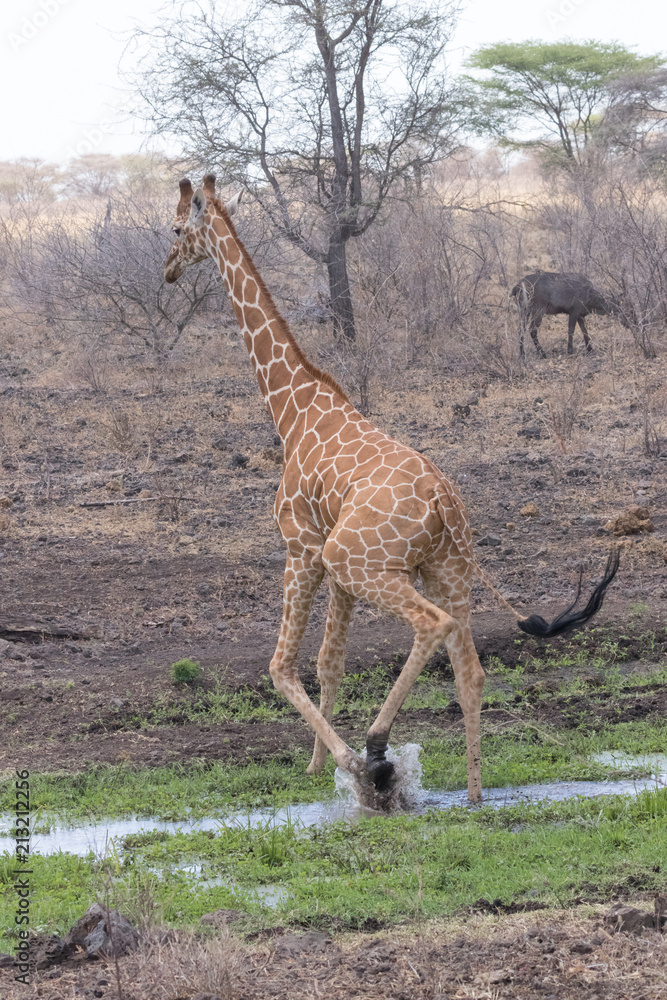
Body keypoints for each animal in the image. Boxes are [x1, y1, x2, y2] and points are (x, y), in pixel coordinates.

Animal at [164, 175, 619, 803]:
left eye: (177, 229)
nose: (167, 271)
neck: (292, 409)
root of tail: (444, 501)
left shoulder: (305, 548)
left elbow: (284, 667)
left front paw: (344, 765)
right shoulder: (333, 569)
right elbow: (330, 662)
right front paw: (318, 768)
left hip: (363, 561)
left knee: (432, 626)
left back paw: (378, 752)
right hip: (446, 569)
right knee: (470, 670)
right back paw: (474, 796)